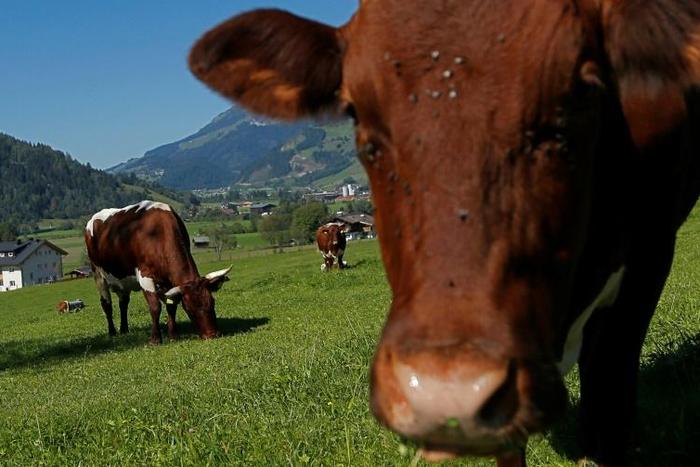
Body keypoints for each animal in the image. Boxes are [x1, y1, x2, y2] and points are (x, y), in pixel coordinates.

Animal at [84, 200, 231, 344]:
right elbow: (155, 307)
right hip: (98, 274)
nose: (212, 335)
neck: (157, 234)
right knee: (106, 304)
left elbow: (171, 306)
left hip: (122, 279)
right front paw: (155, 339)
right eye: (189, 309)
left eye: (212, 302)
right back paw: (112, 332)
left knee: (123, 303)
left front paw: (173, 335)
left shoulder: (169, 281)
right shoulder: (145, 276)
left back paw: (124, 329)